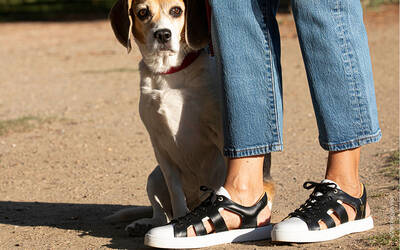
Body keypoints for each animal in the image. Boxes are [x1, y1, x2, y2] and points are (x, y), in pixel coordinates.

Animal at [106, 0, 276, 235]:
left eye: (176, 10)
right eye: (142, 13)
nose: (163, 34)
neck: (170, 73)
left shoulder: (220, 137)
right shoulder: (160, 147)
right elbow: (176, 196)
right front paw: (179, 220)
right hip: (154, 177)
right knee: (160, 215)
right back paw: (143, 224)